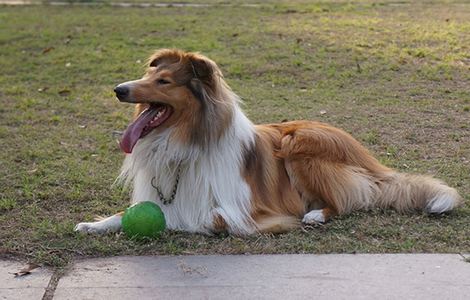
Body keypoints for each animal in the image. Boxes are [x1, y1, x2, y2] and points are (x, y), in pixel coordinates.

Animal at [75, 49, 460, 236]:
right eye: (149, 75)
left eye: (164, 81)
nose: (119, 89)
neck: (186, 141)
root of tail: (367, 158)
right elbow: (125, 214)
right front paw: (94, 225)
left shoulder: (245, 213)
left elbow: (198, 218)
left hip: (299, 145)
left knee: (346, 200)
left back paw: (316, 214)